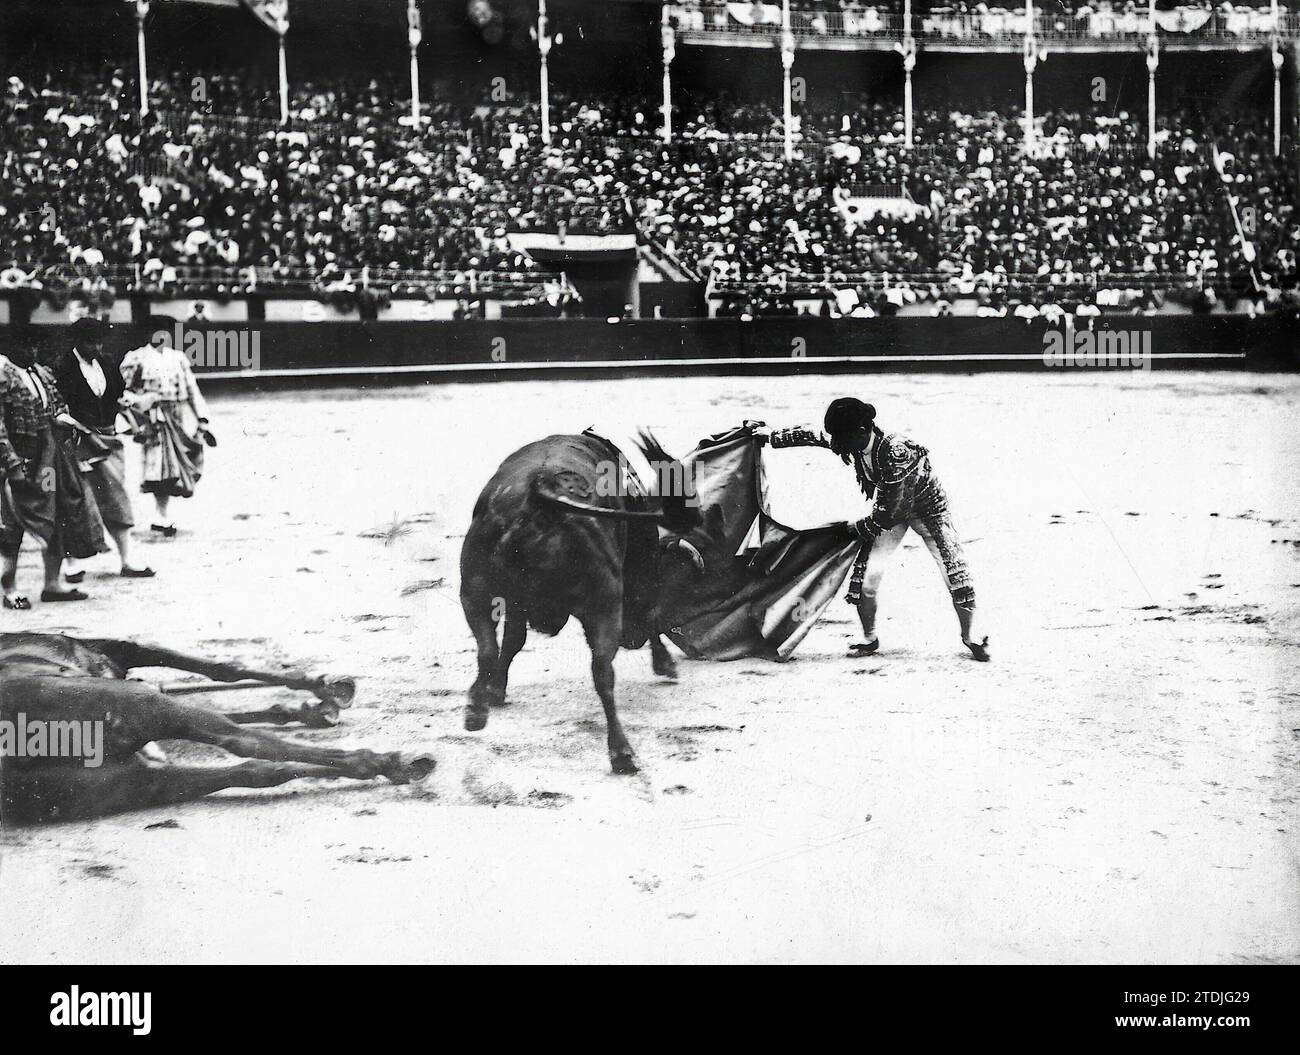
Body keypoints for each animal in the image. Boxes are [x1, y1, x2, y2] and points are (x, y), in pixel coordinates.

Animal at [0, 634, 436, 826]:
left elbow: (217, 671)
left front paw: (313, 703)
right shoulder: (123, 657)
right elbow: (220, 670)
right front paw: (324, 689)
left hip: (136, 783)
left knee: (258, 770)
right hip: (148, 712)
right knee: (247, 744)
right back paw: (396, 760)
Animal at [457, 431, 702, 774]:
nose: (633, 639)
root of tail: (542, 492)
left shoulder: (515, 605)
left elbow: (513, 640)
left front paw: (495, 690)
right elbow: (651, 614)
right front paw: (664, 662)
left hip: (474, 590)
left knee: (488, 650)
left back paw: (476, 710)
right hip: (605, 603)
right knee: (603, 672)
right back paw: (622, 752)